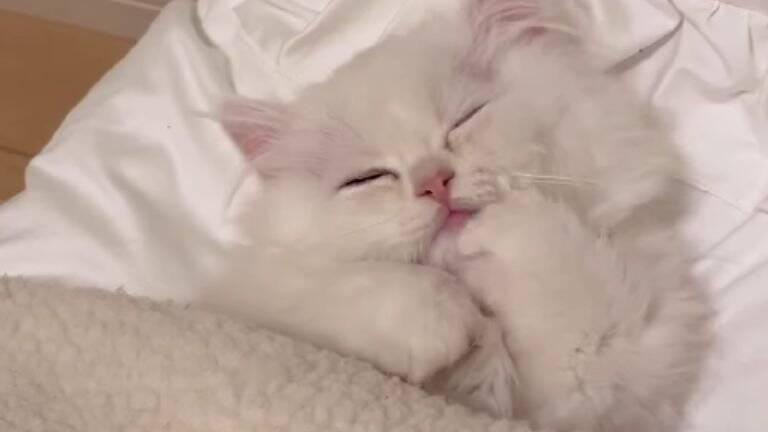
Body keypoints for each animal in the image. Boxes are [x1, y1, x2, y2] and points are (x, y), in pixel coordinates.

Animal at [205, 0, 711, 430]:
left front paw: (496, 226)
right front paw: (440, 321)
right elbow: (334, 288)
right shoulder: (260, 301)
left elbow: (558, 267)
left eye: (466, 117)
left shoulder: (603, 378)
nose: (434, 182)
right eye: (366, 178)